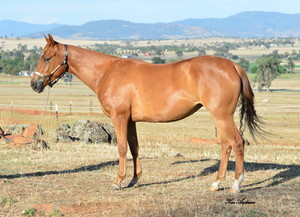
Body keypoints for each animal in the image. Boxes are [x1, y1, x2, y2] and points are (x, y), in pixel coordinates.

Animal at [31, 34, 264, 193]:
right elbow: (134, 148)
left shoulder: (119, 117)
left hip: (222, 116)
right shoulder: (131, 120)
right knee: (226, 145)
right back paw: (216, 183)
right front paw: (134, 180)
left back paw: (236, 184)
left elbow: (122, 148)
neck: (107, 71)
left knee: (237, 142)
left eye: (47, 58)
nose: (34, 84)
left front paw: (118, 181)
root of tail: (233, 65)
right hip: (220, 117)